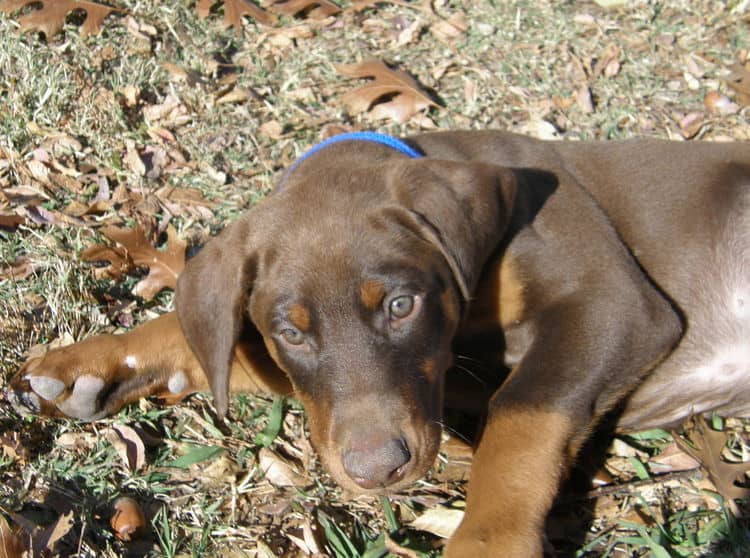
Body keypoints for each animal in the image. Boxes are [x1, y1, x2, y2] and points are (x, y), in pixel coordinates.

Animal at [7, 130, 750, 556]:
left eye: (400, 305)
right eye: (291, 330)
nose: (377, 471)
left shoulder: (614, 303)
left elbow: (522, 417)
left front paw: (486, 542)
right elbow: (217, 346)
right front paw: (90, 366)